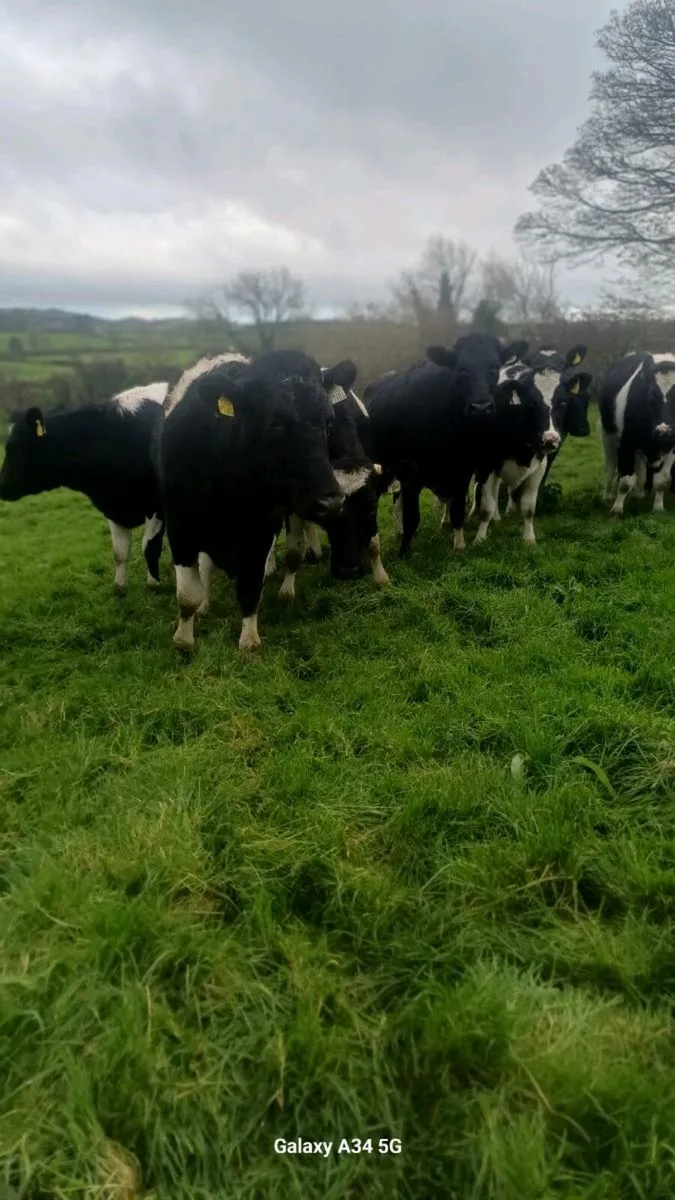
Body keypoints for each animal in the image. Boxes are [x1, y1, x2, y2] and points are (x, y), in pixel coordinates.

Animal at [0, 382, 169, 591]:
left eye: (15, 447)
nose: (2, 486)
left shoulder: (156, 508)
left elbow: (150, 547)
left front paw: (154, 584)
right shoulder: (113, 506)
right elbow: (119, 551)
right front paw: (119, 587)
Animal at [157, 348, 380, 653]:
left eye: (327, 420)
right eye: (274, 422)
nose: (331, 502)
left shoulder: (260, 530)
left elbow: (252, 586)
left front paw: (249, 642)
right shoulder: (180, 528)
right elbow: (187, 595)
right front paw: (183, 640)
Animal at [362, 333, 530, 557]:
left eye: (495, 368)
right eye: (461, 369)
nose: (481, 408)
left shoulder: (463, 471)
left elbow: (457, 510)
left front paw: (459, 544)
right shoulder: (411, 473)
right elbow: (412, 517)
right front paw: (404, 553)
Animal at [599, 352, 675, 515]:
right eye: (652, 395)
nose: (664, 430)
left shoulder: (672, 447)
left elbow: (663, 480)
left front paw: (658, 507)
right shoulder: (626, 443)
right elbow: (625, 481)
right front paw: (617, 509)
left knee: (640, 466)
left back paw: (638, 493)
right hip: (608, 436)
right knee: (610, 466)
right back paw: (607, 495)